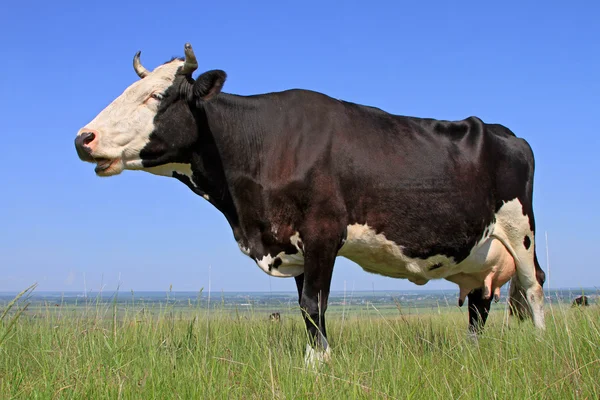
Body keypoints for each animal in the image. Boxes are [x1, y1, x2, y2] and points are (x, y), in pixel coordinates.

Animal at [74, 43, 544, 366]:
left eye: (157, 97)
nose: (83, 137)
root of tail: (505, 132)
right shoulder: (291, 243)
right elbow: (303, 306)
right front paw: (313, 359)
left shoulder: (323, 232)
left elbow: (314, 305)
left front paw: (318, 364)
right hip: (480, 254)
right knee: (480, 303)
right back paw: (471, 352)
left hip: (520, 230)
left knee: (533, 285)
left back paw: (542, 343)